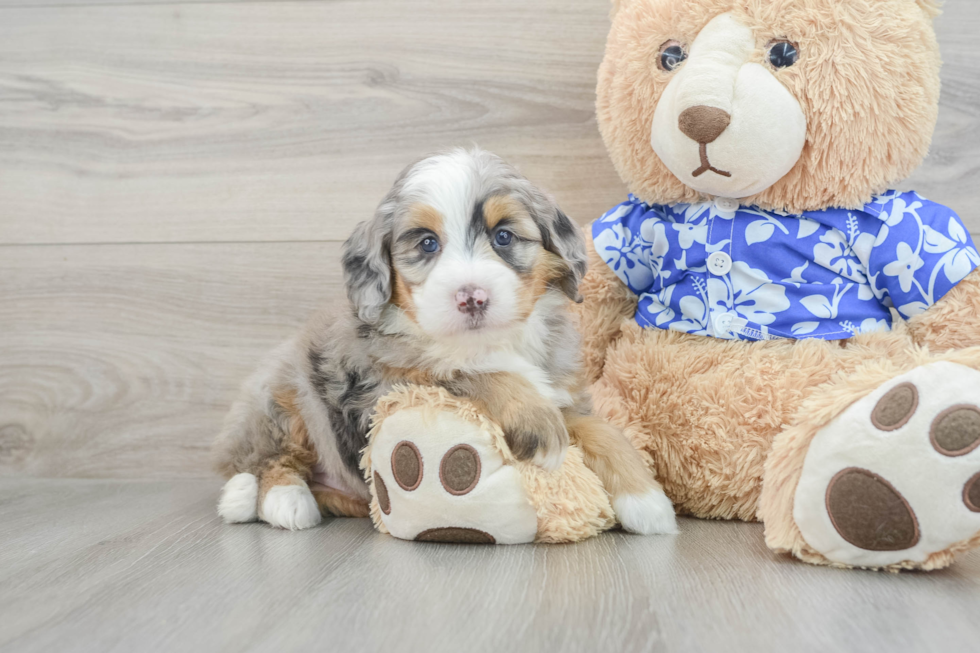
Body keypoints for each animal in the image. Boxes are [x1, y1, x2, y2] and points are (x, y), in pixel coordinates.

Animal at [211, 149, 676, 536]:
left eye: (503, 236)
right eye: (427, 243)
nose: (472, 297)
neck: (487, 340)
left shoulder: (563, 392)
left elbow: (603, 431)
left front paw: (647, 502)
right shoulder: (386, 385)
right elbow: (470, 373)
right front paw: (535, 421)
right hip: (283, 395)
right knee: (268, 458)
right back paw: (281, 500)